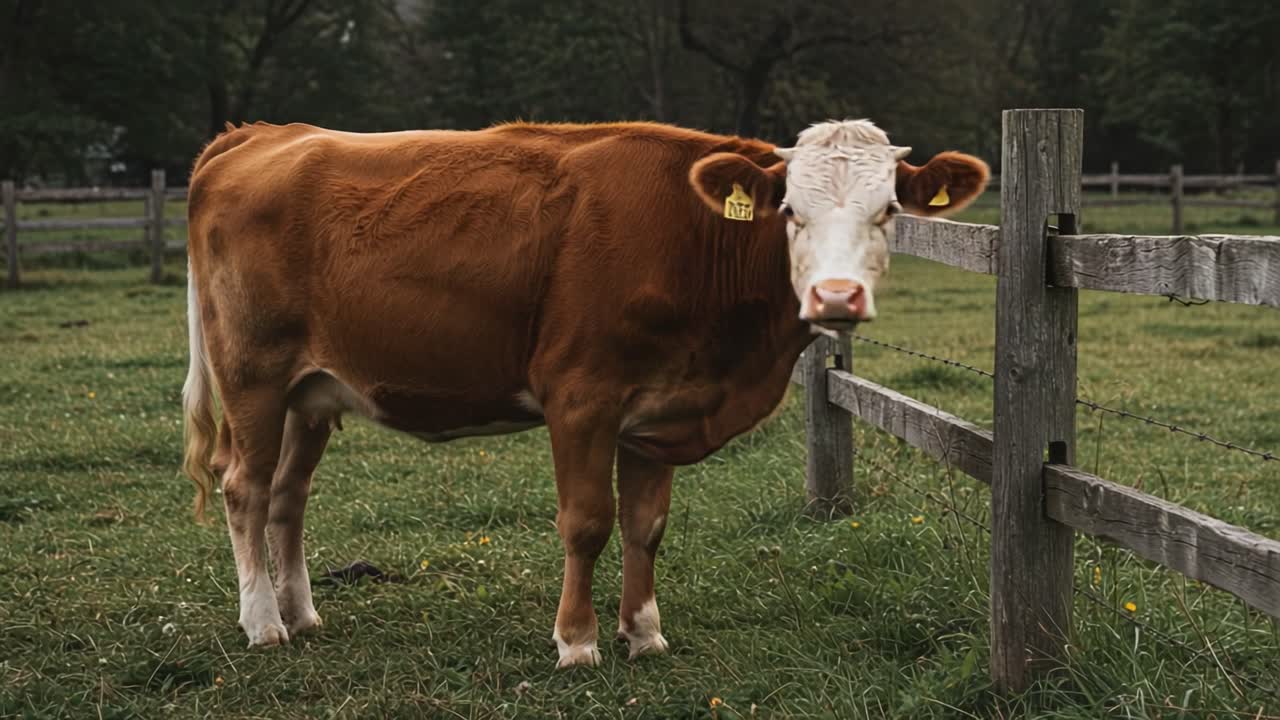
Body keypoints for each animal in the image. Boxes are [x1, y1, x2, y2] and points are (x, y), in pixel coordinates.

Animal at [181, 119, 988, 668]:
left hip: (310, 392)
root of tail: (261, 134)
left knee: (287, 496)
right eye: (791, 211)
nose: (837, 296)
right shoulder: (580, 397)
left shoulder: (658, 411)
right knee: (245, 487)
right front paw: (577, 641)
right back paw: (263, 624)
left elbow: (645, 525)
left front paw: (645, 632)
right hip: (253, 375)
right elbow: (587, 522)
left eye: (889, 211)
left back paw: (303, 613)